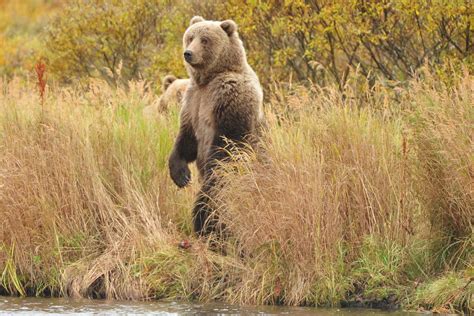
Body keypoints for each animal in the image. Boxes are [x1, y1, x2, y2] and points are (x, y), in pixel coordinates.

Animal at [168, 16, 264, 236]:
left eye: (205, 40)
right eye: (190, 37)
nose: (188, 53)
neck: (208, 79)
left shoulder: (230, 98)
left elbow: (227, 144)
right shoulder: (193, 101)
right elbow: (186, 140)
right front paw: (181, 175)